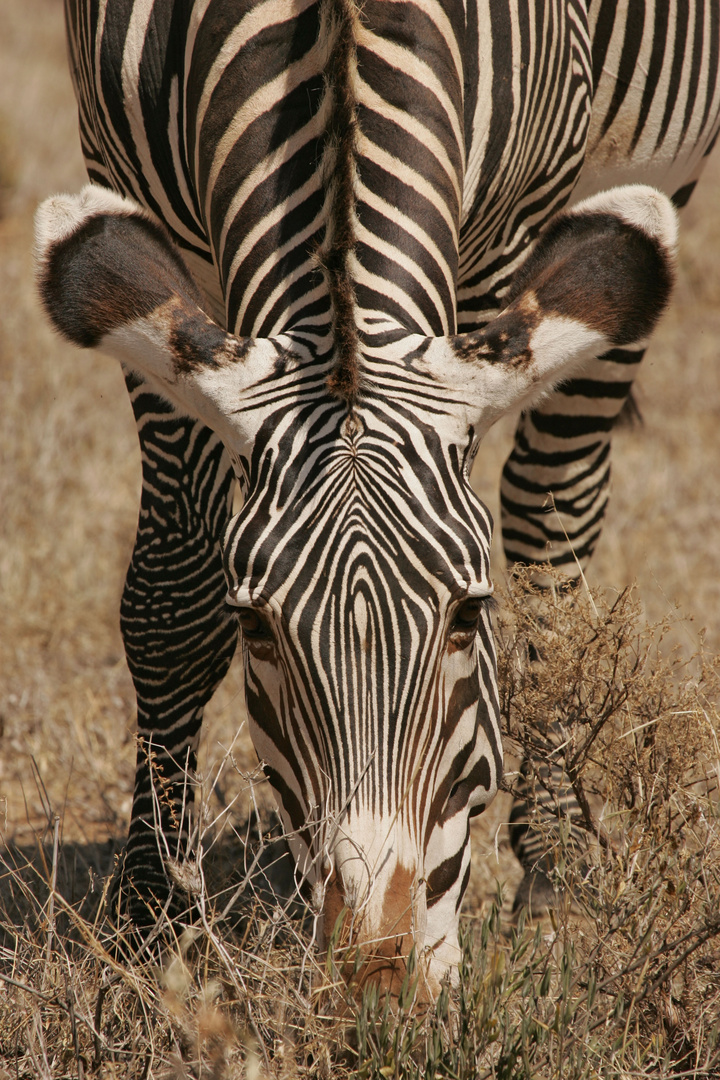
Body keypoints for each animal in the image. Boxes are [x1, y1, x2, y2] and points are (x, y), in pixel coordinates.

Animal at [33, 0, 716, 993]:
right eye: (256, 629)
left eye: (469, 617)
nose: (378, 976)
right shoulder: (131, 189)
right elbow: (171, 597)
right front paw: (153, 924)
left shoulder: (508, 233)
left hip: (646, 181)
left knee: (554, 514)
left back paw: (552, 867)